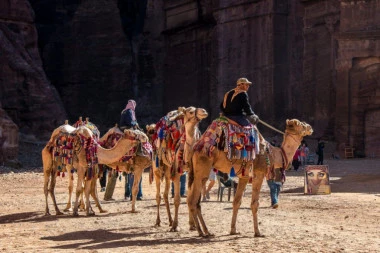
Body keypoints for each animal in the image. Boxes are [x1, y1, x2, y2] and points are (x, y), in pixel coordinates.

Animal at [186, 118, 314, 237]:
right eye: (301, 125)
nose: (310, 127)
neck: (273, 154)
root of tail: (195, 148)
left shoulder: (244, 176)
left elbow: (237, 201)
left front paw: (233, 230)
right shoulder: (259, 173)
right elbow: (254, 204)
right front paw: (258, 232)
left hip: (197, 173)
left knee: (194, 200)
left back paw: (206, 231)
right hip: (202, 169)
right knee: (193, 200)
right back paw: (201, 232)